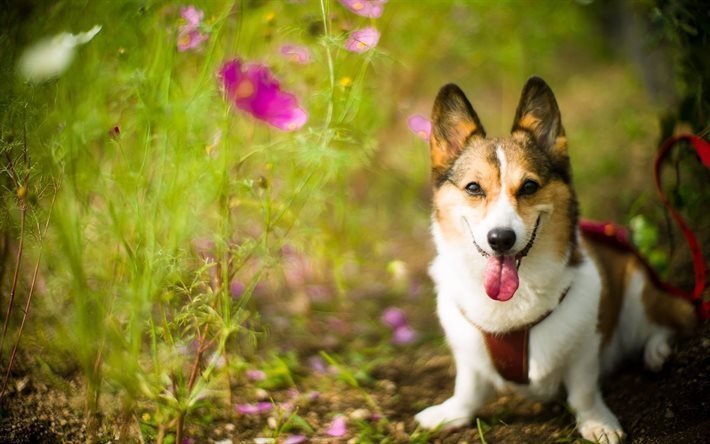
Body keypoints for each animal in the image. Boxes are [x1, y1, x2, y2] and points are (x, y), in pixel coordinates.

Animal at [414, 78, 700, 442]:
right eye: (474, 188)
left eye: (529, 186)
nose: (501, 239)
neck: (514, 305)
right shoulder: (469, 356)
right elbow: (468, 388)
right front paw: (451, 414)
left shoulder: (585, 349)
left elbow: (584, 392)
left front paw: (597, 422)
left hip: (638, 288)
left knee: (668, 323)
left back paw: (656, 353)